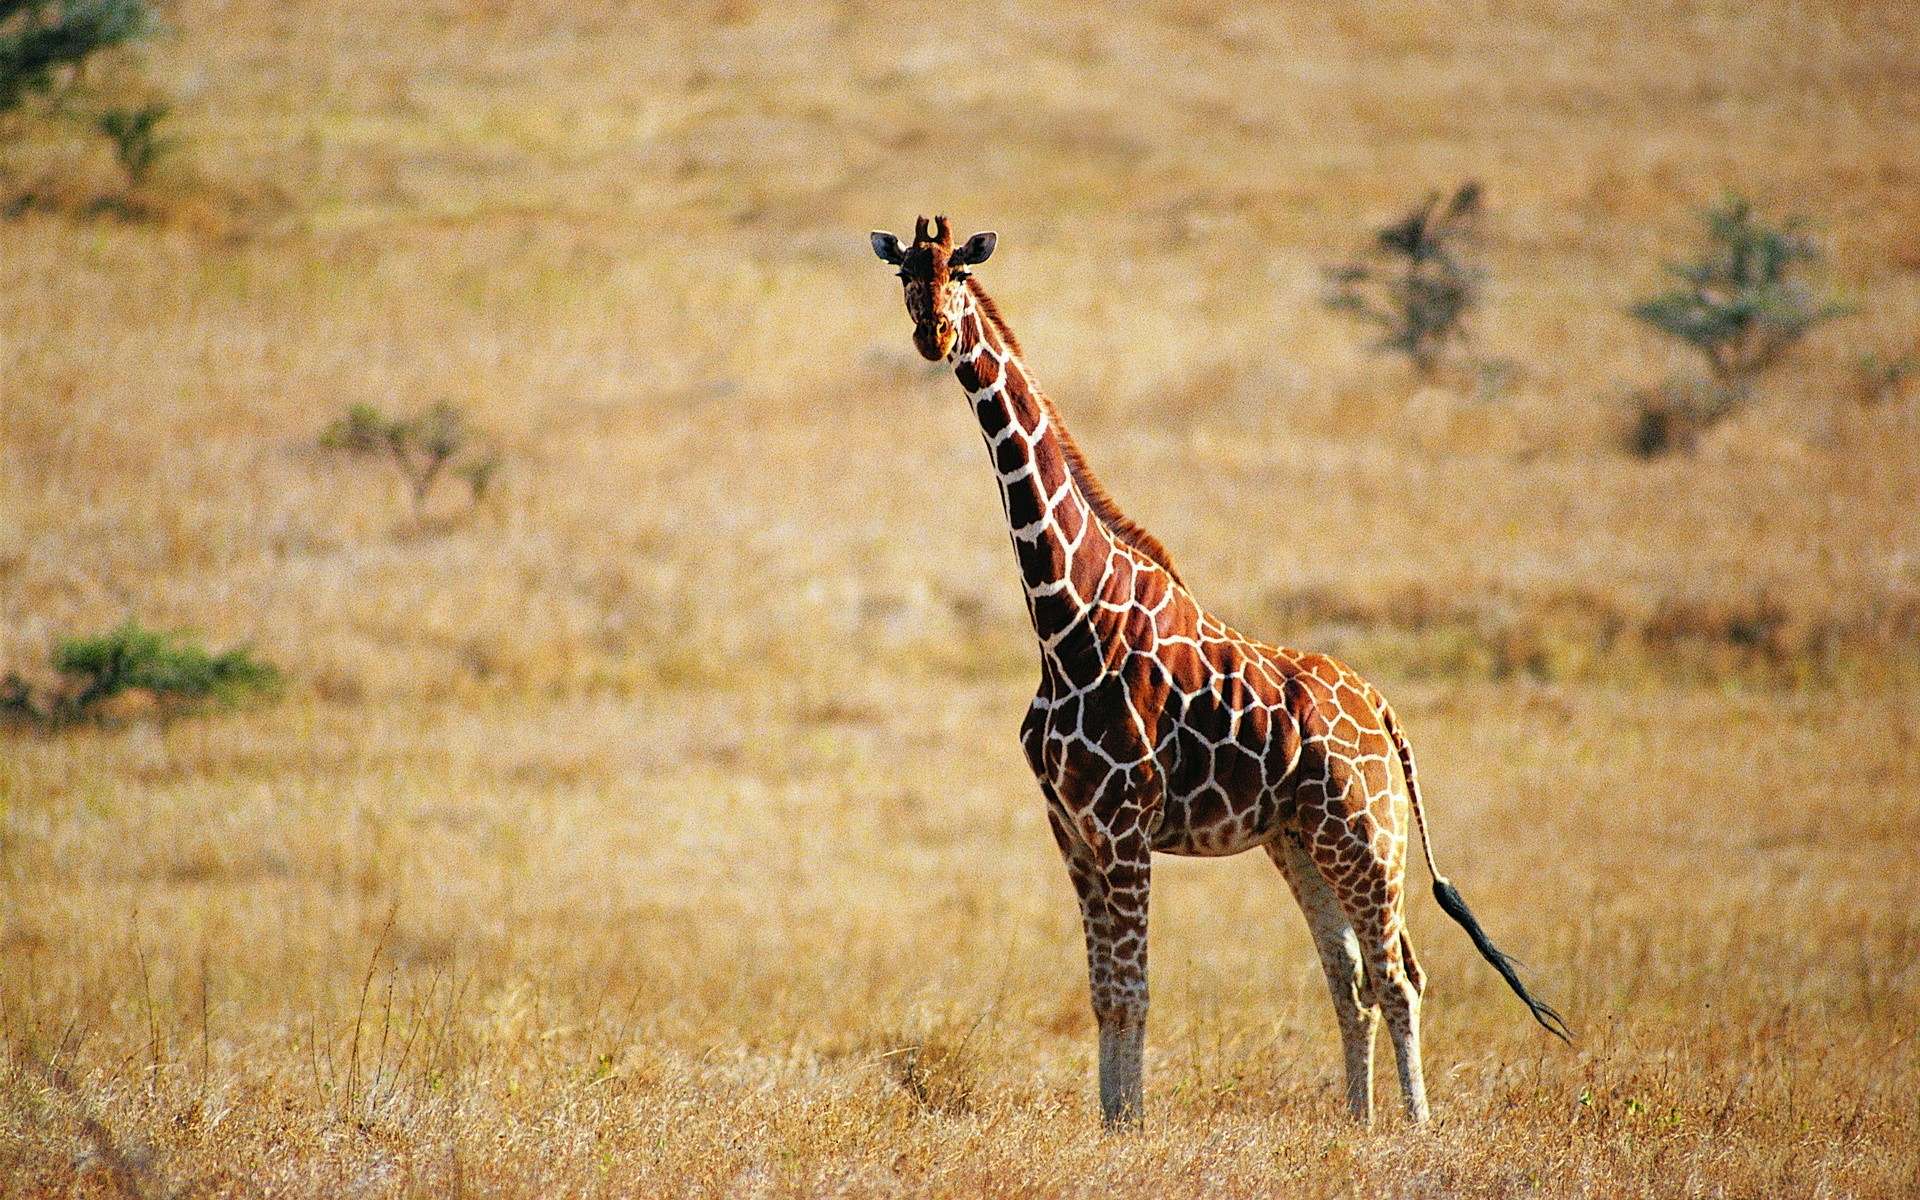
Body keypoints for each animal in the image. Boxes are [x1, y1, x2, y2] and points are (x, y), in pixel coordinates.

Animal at [879, 217, 1566, 1128]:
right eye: (905, 276)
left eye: (957, 271)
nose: (935, 335)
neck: (1065, 620)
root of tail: (1383, 708)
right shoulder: (1071, 829)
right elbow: (1103, 993)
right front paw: (1112, 1124)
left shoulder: (1124, 826)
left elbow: (1133, 991)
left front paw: (1130, 1130)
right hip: (1300, 841)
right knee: (1350, 980)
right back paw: (1359, 1124)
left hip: (1368, 835)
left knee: (1400, 976)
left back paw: (1415, 1128)